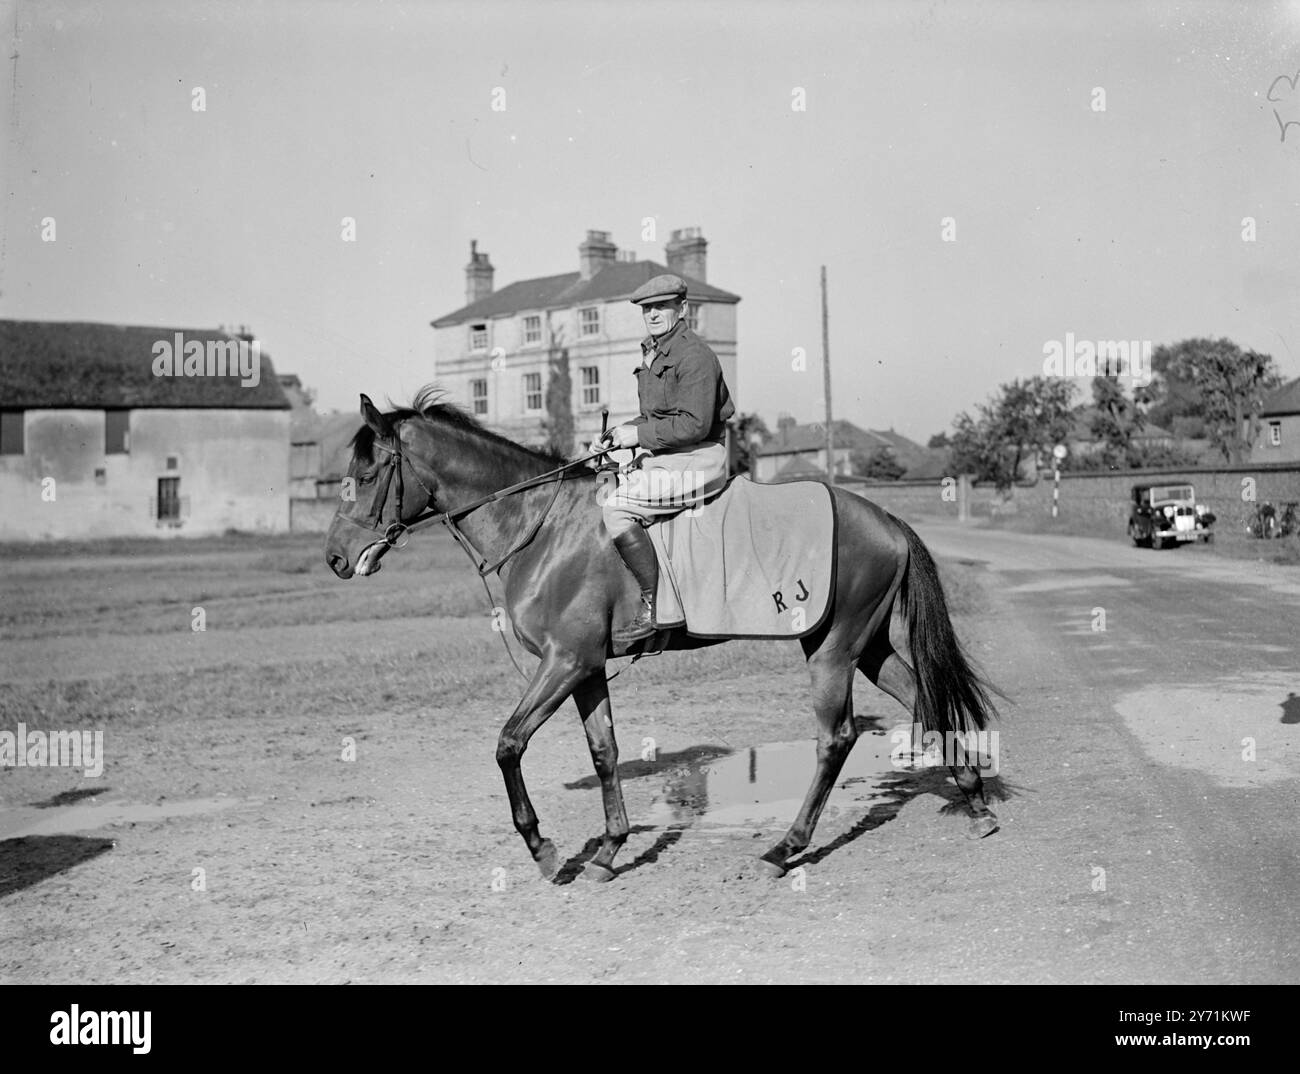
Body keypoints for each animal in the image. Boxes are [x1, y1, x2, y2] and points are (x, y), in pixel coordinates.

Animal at [327, 390, 1003, 884]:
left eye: (367, 473)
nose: (335, 558)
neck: (541, 524)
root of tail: (884, 517)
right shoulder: (585, 668)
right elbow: (603, 753)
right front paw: (608, 851)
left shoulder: (563, 662)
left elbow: (508, 745)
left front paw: (545, 849)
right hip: (868, 647)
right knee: (924, 699)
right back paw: (975, 802)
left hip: (831, 649)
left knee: (836, 739)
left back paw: (787, 846)